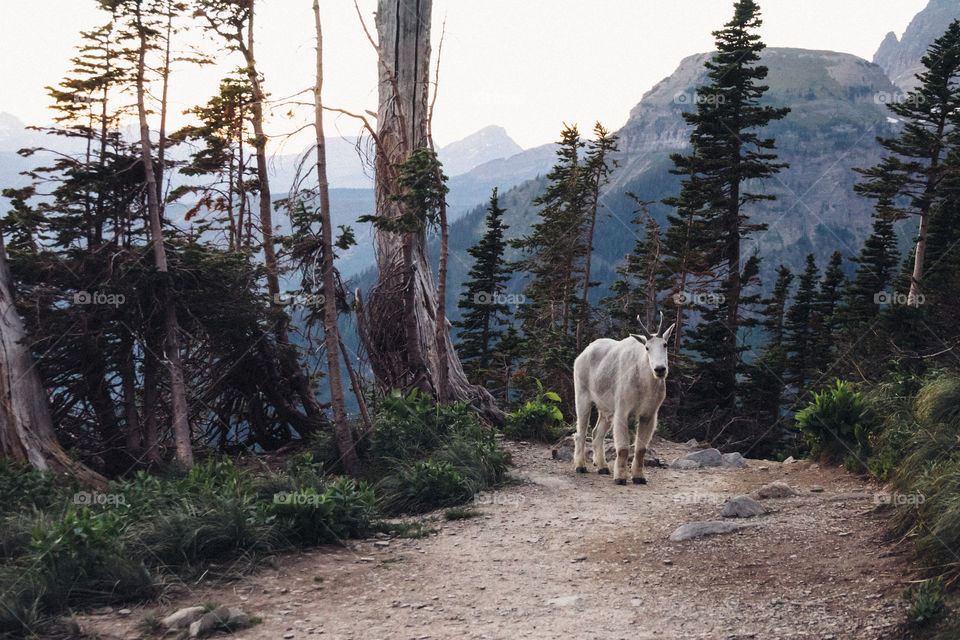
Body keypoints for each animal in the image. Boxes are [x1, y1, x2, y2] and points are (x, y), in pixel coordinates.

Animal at [572, 313, 675, 485]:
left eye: (665, 344)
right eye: (647, 347)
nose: (660, 369)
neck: (644, 380)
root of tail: (583, 354)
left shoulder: (649, 415)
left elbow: (641, 449)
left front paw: (639, 477)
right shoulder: (622, 411)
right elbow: (623, 448)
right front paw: (620, 477)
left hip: (606, 409)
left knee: (596, 433)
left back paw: (602, 467)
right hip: (582, 397)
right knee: (581, 432)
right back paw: (580, 466)